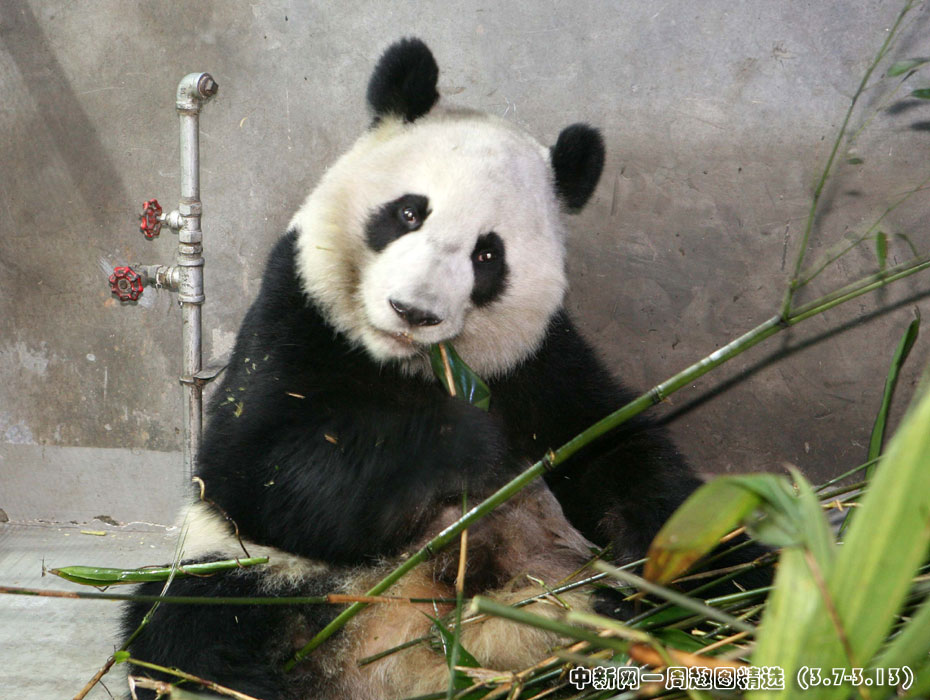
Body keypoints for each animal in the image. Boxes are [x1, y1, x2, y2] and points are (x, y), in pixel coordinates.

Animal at [122, 38, 762, 700]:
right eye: (409, 213)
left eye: (487, 253)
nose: (414, 311)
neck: (411, 364)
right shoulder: (294, 315)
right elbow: (256, 467)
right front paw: (465, 443)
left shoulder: (539, 362)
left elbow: (612, 441)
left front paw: (646, 550)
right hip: (257, 570)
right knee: (188, 624)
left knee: (745, 568)